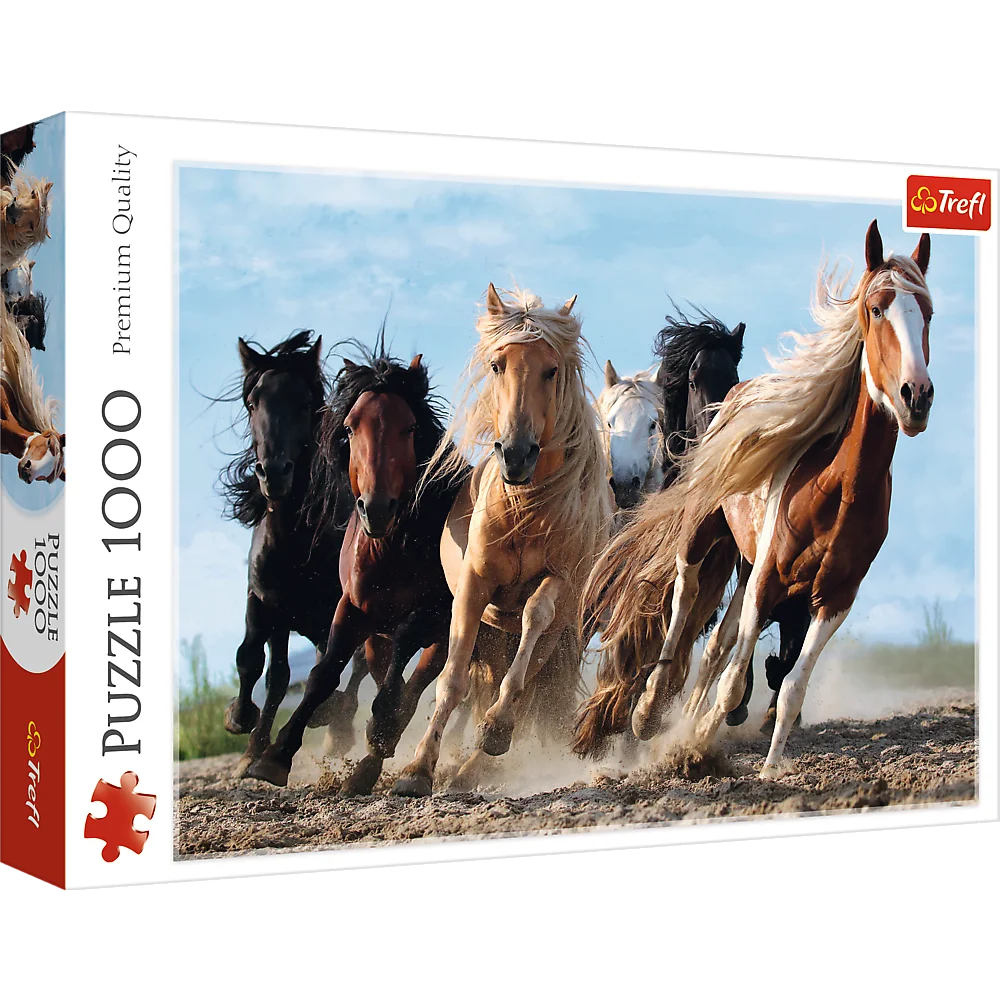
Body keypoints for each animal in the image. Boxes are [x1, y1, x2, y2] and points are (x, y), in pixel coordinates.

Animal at [219, 331, 364, 777]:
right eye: (253, 403)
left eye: (304, 403)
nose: (274, 472)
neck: (295, 543)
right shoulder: (265, 601)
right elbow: (258, 663)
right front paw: (243, 729)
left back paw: (338, 727)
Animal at [246, 340, 466, 794]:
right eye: (349, 428)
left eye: (409, 428)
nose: (376, 508)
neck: (392, 549)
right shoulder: (351, 608)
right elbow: (323, 673)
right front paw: (275, 756)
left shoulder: (435, 614)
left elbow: (404, 660)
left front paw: (380, 729)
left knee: (416, 683)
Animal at [390, 284, 613, 798]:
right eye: (497, 365)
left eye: (551, 369)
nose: (516, 454)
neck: (525, 509)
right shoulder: (474, 587)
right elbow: (451, 681)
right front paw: (417, 768)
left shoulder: (560, 582)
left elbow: (534, 616)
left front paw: (494, 729)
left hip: (554, 638)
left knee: (527, 684)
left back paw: (477, 761)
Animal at [580, 220, 934, 778]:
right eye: (876, 308)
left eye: (928, 312)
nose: (915, 395)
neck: (837, 489)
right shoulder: (767, 574)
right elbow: (728, 677)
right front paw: (689, 743)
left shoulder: (834, 598)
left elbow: (789, 685)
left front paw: (766, 769)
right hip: (703, 533)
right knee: (683, 598)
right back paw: (649, 708)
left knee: (716, 648)